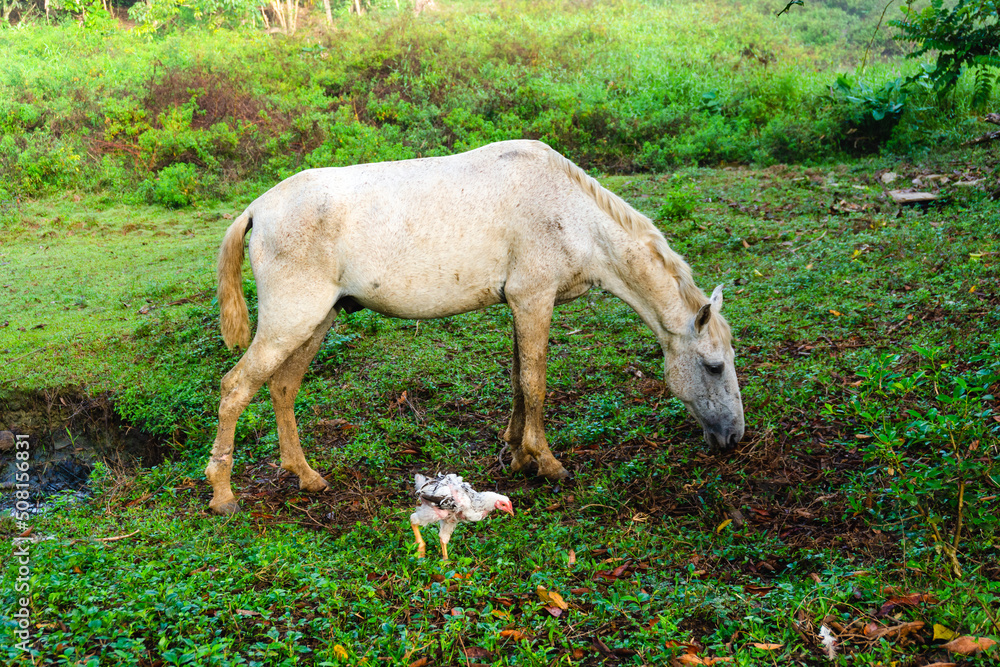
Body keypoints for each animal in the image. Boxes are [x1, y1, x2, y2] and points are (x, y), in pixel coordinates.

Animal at [204, 140, 744, 515]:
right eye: (714, 366)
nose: (734, 438)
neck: (573, 214)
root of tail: (258, 208)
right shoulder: (534, 300)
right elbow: (536, 382)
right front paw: (546, 463)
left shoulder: (520, 305)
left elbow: (519, 382)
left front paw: (516, 452)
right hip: (290, 321)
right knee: (235, 389)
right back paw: (223, 495)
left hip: (315, 322)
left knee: (282, 388)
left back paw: (306, 475)